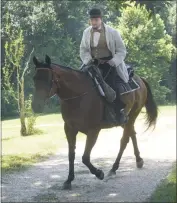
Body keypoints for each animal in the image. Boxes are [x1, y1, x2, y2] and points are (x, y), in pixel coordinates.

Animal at [31, 54, 158, 190]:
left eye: (48, 79)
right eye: (34, 78)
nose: (36, 106)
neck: (79, 96)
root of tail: (140, 79)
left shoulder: (93, 131)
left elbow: (85, 157)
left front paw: (99, 173)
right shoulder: (69, 129)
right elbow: (71, 155)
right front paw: (69, 180)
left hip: (132, 116)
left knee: (124, 141)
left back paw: (114, 168)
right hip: (126, 120)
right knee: (132, 134)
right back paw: (138, 160)